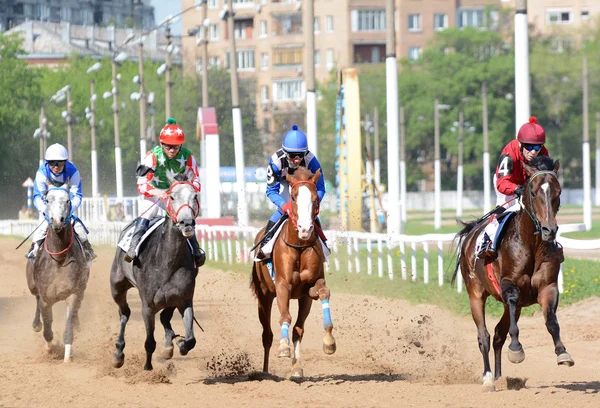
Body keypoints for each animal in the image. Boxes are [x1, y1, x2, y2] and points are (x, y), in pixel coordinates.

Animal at [25, 186, 90, 362]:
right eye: (48, 200)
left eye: (67, 200)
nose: (57, 220)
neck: (59, 258)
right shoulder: (45, 298)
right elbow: (47, 330)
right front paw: (50, 349)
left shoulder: (73, 294)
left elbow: (69, 327)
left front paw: (67, 358)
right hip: (32, 286)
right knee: (36, 301)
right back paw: (36, 324)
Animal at [109, 172, 200, 370]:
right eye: (172, 197)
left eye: (194, 196)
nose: (187, 223)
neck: (167, 261)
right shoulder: (147, 306)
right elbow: (149, 341)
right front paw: (147, 368)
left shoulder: (184, 298)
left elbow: (191, 339)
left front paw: (180, 343)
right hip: (117, 286)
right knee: (124, 313)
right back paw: (118, 353)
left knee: (165, 316)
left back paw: (169, 344)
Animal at [248, 167, 336, 378]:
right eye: (294, 197)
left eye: (315, 198)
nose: (305, 229)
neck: (300, 245)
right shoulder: (282, 286)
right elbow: (285, 317)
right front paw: (283, 348)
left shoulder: (310, 289)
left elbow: (323, 293)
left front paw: (329, 341)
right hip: (264, 296)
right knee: (267, 335)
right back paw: (265, 372)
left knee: (298, 329)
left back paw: (296, 367)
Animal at [452, 157, 576, 392]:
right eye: (534, 193)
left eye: (559, 191)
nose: (549, 230)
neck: (532, 244)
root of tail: (471, 233)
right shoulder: (509, 285)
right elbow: (511, 308)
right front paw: (517, 349)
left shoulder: (548, 286)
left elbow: (552, 321)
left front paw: (562, 353)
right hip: (475, 292)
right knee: (484, 335)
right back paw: (488, 378)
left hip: (514, 307)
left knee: (498, 336)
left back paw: (500, 377)